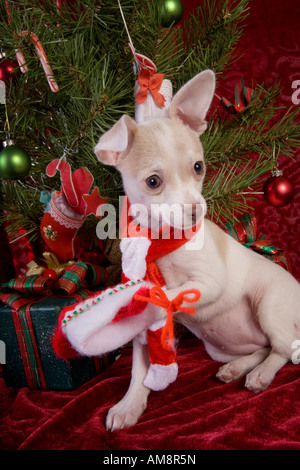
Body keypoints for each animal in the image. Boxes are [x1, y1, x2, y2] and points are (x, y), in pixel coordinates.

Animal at [94, 70, 300, 430]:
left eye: (199, 168)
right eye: (153, 182)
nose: (196, 211)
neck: (160, 244)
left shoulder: (208, 282)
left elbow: (168, 296)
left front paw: (151, 301)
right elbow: (138, 370)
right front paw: (130, 405)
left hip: (270, 306)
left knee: (284, 351)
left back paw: (261, 374)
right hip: (222, 347)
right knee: (263, 347)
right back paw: (239, 367)